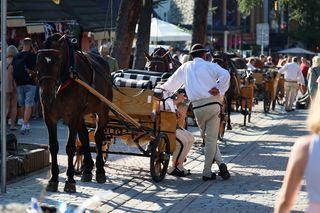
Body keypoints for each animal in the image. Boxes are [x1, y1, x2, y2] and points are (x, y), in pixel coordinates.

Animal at [34, 33, 112, 193]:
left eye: (57, 63)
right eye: (38, 63)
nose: (46, 96)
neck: (65, 80)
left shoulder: (73, 117)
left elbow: (70, 147)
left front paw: (69, 180)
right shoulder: (49, 117)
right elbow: (54, 146)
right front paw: (53, 179)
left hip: (102, 111)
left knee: (98, 137)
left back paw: (100, 170)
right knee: (84, 136)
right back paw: (87, 169)